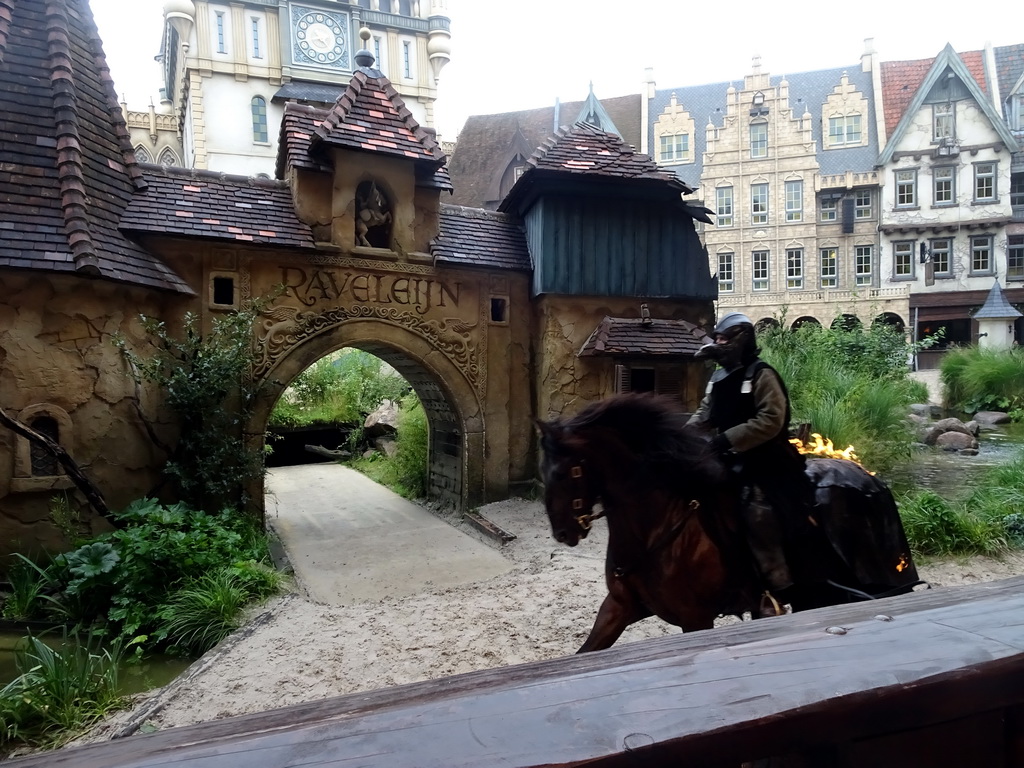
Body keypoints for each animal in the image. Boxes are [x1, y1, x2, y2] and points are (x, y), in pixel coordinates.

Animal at [536, 393, 921, 651]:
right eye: (546, 470)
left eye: (567, 472)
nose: (563, 532)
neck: (659, 526)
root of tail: (870, 480)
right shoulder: (619, 607)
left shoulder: (695, 620)